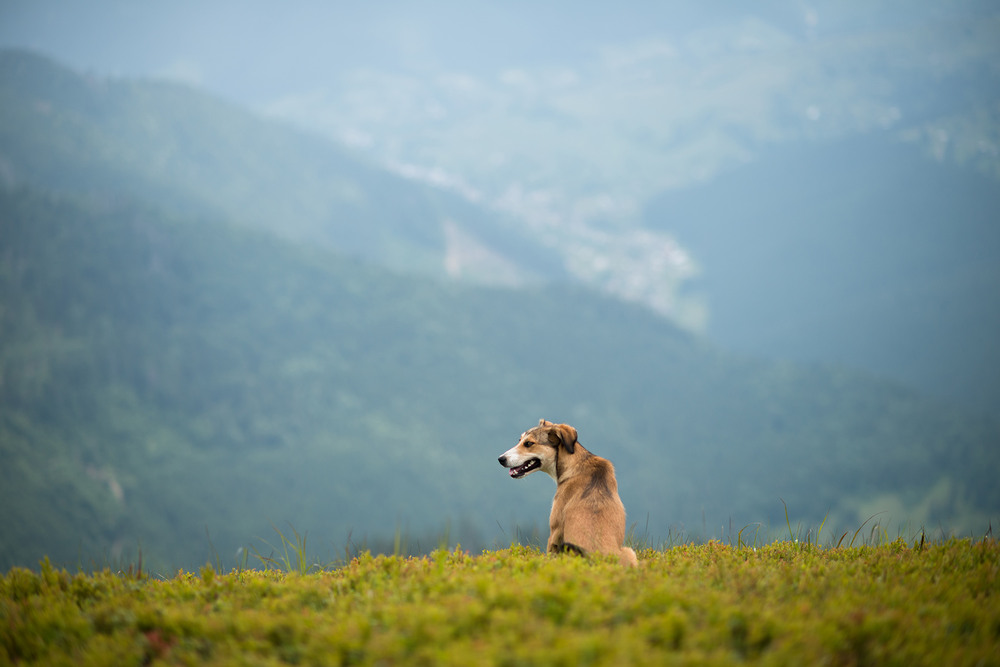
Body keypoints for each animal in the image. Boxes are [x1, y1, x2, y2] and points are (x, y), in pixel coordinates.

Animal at [500, 420, 640, 568]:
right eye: (519, 440)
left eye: (528, 443)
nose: (500, 459)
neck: (576, 463)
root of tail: (596, 560)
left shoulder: (554, 531)